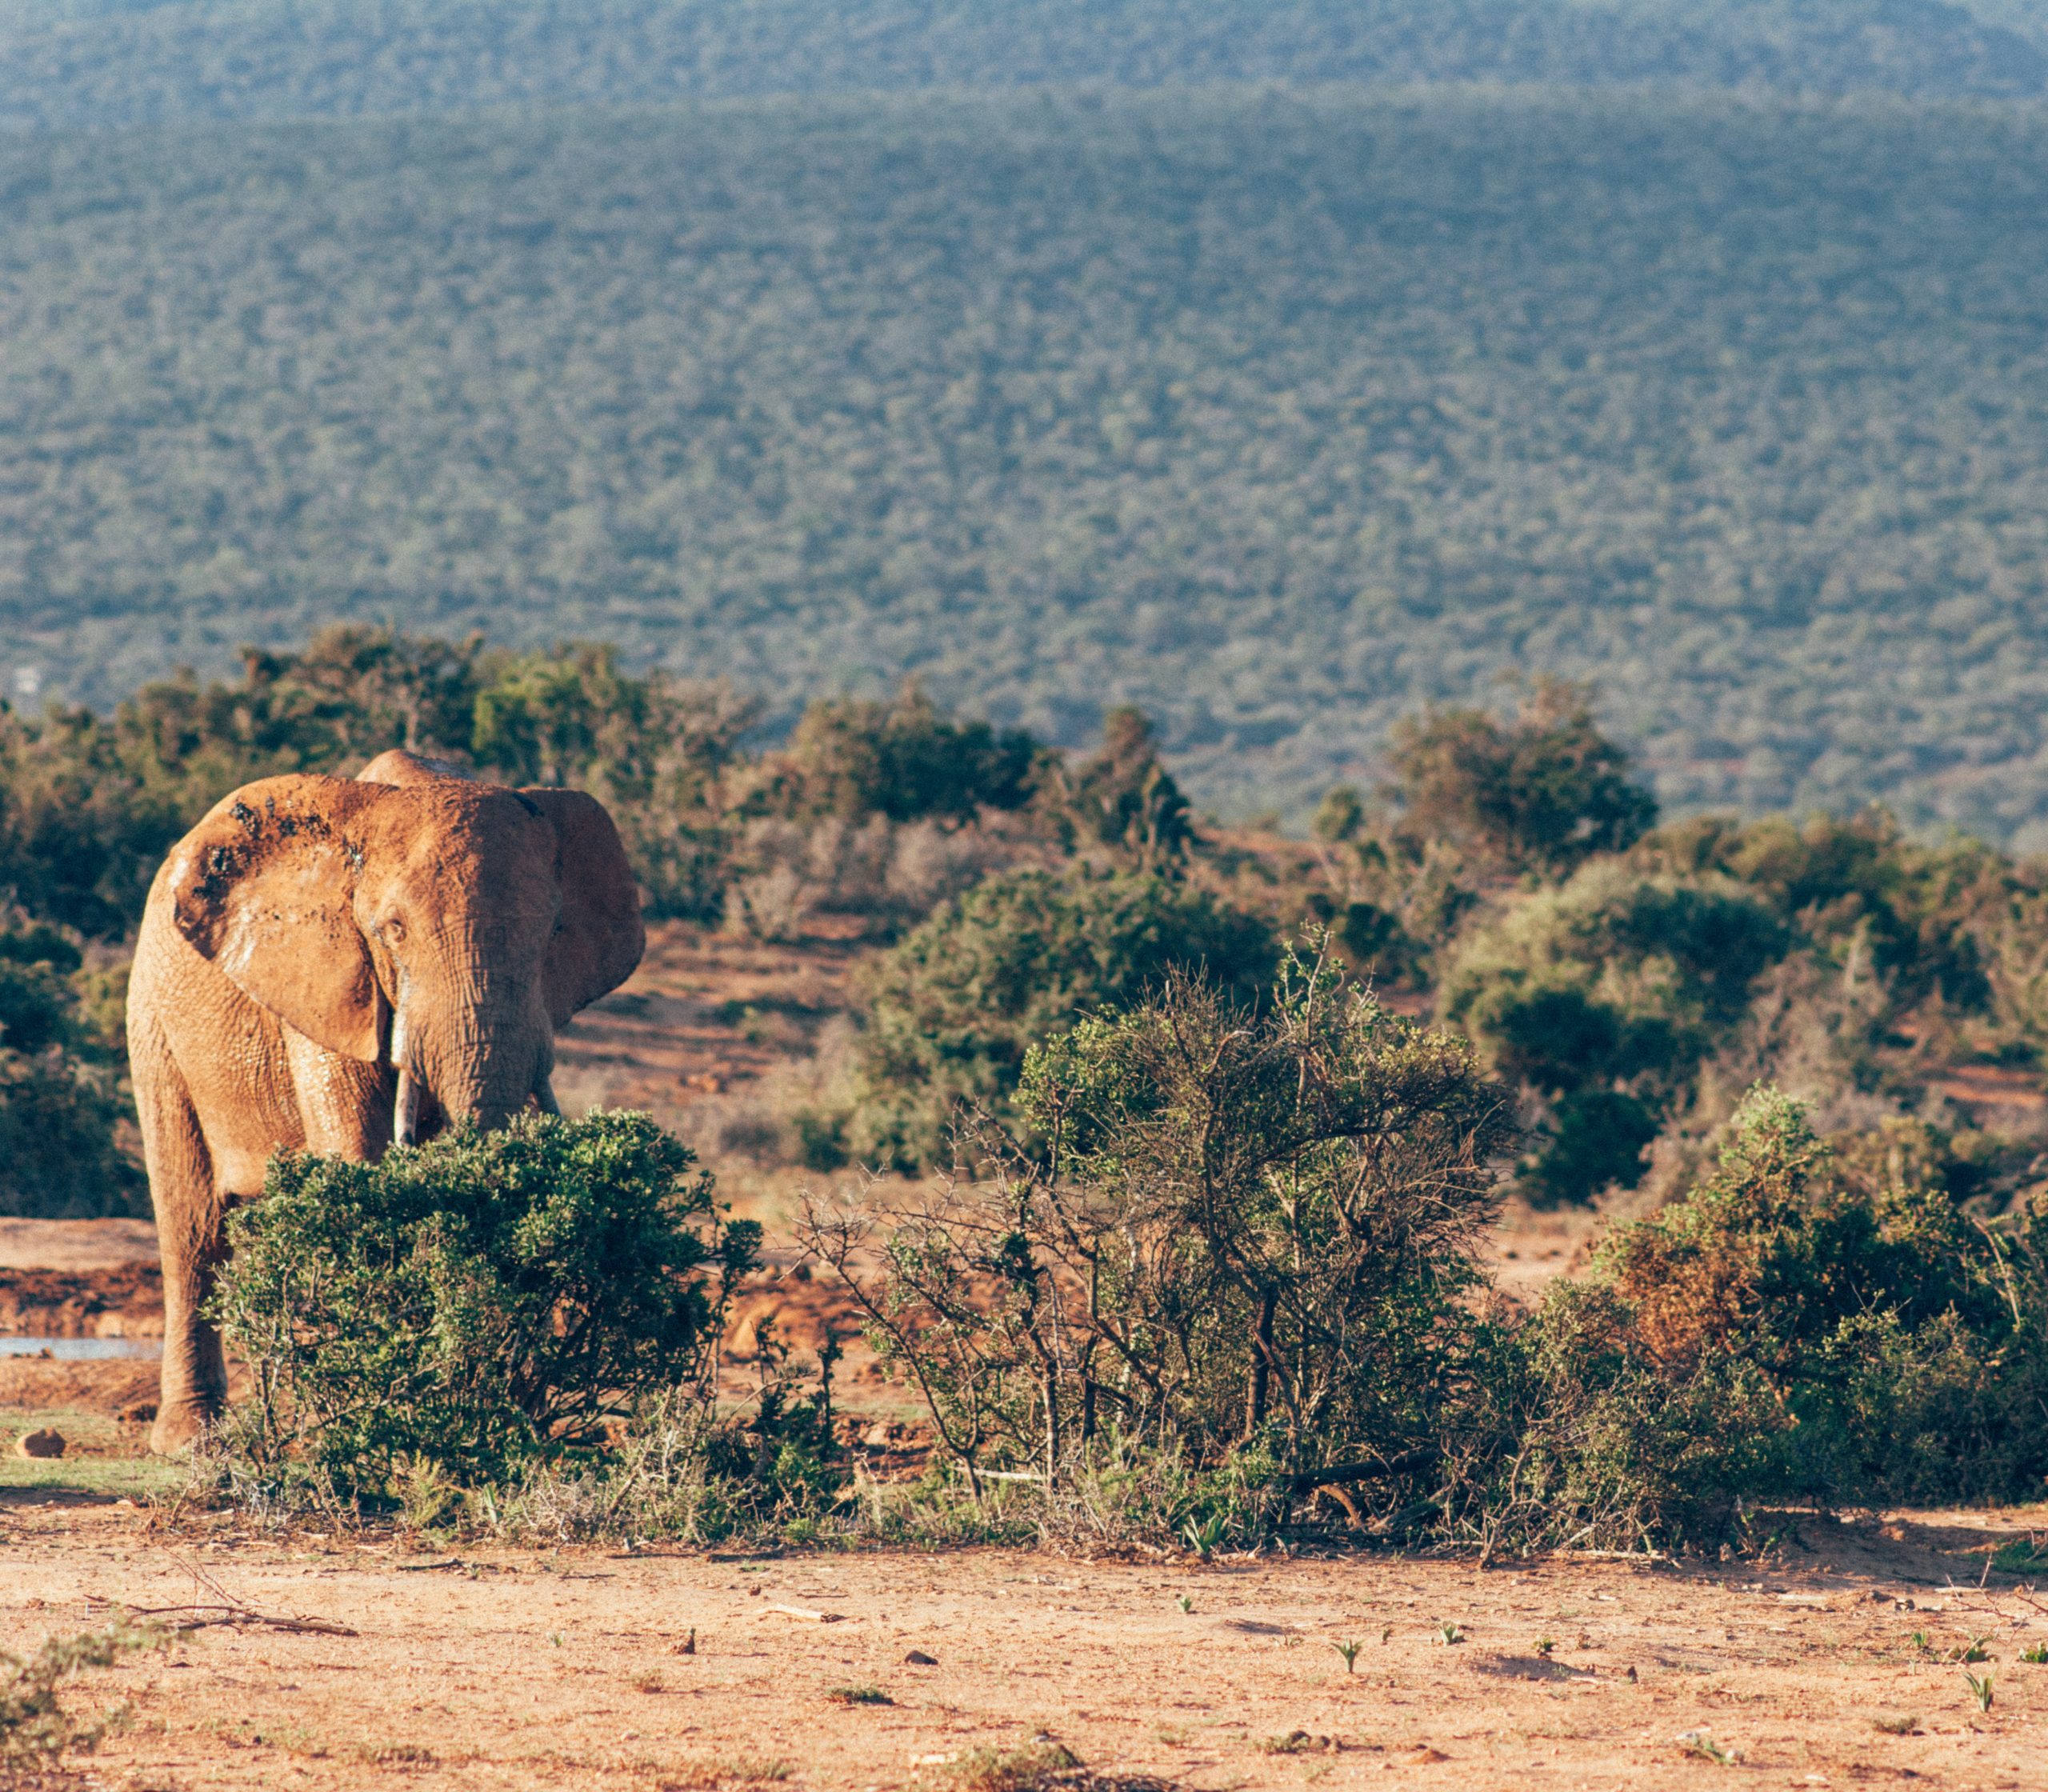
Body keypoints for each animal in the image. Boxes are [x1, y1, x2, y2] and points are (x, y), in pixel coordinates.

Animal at [127, 748, 644, 1453]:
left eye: (550, 934)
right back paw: (195, 1442)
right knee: (193, 1229)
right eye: (392, 930)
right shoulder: (328, 980)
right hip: (155, 1020)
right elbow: (357, 1160)